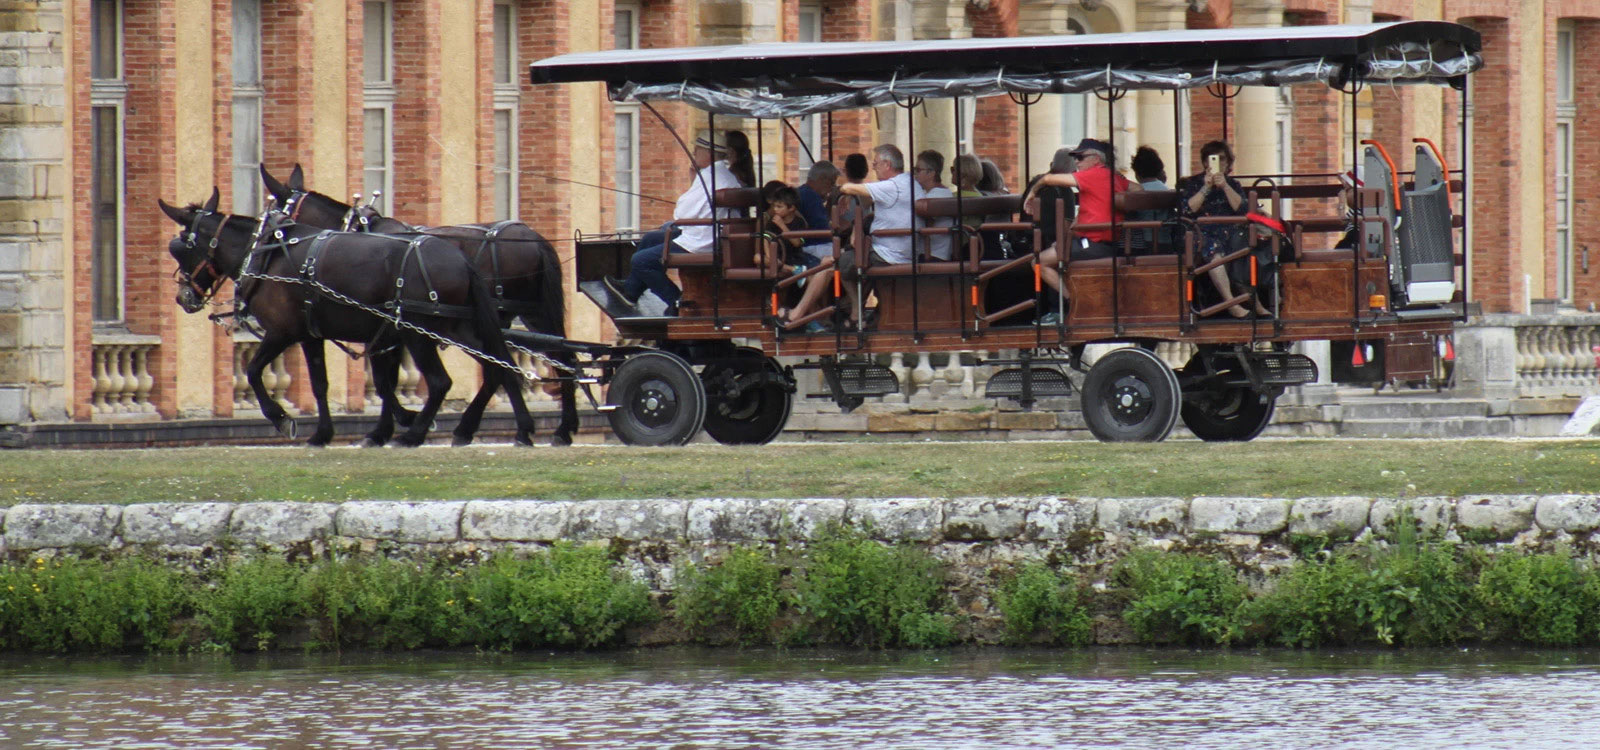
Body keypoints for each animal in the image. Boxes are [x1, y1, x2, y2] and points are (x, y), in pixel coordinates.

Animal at [159, 191, 540, 444]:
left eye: (179, 248)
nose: (182, 297)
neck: (267, 253)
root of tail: (460, 259)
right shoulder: (313, 335)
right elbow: (322, 383)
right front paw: (324, 433)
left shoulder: (283, 332)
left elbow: (254, 371)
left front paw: (281, 418)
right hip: (456, 328)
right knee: (500, 363)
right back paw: (512, 427)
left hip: (419, 333)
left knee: (441, 381)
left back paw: (415, 434)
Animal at [264, 165, 582, 444]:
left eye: (278, 216)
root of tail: (534, 238)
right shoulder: (391, 331)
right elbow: (387, 381)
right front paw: (391, 426)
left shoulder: (386, 330)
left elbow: (384, 381)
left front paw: (390, 427)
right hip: (513, 317)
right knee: (524, 363)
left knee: (530, 363)